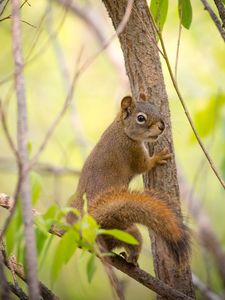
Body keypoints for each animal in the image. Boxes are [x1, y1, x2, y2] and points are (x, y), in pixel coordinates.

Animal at [69, 95, 190, 264]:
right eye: (141, 118)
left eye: (156, 108)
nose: (162, 126)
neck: (122, 129)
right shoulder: (132, 151)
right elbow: (144, 166)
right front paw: (159, 157)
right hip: (128, 232)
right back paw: (132, 259)